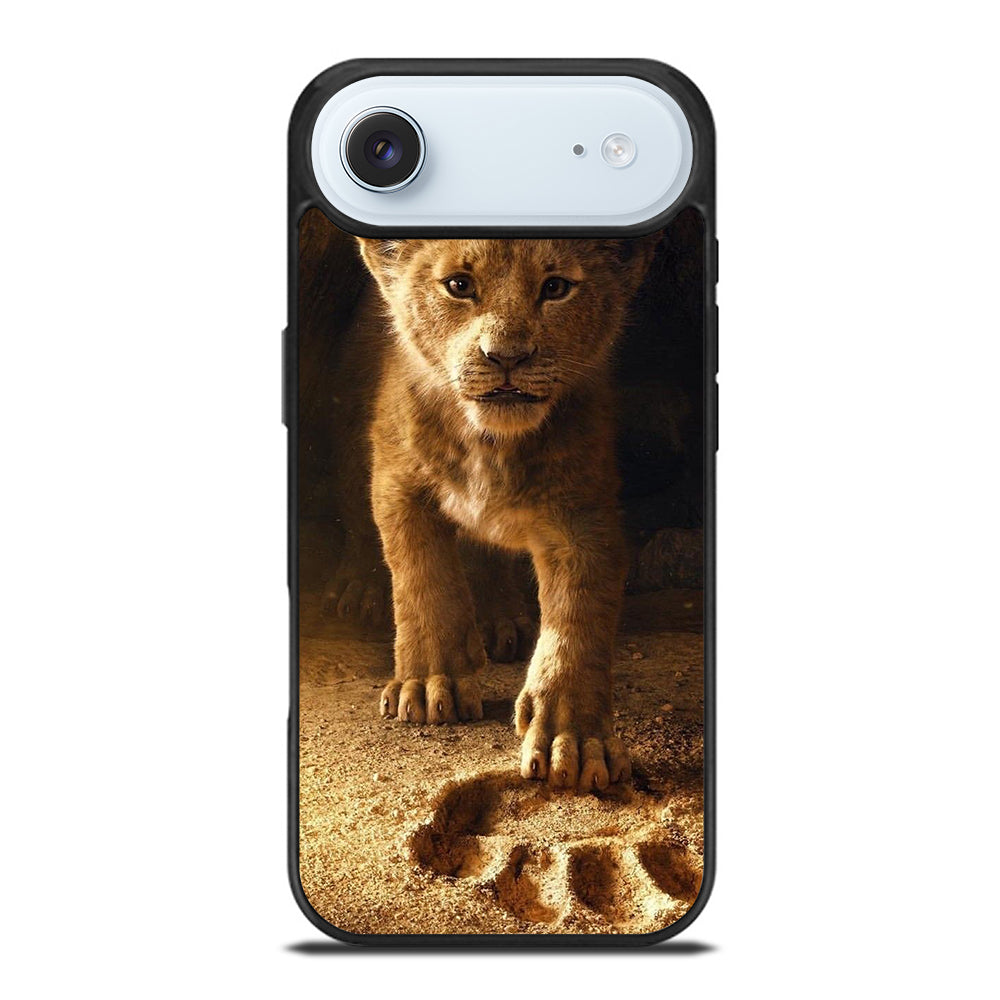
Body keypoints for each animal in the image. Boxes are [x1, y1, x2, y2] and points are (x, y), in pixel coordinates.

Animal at [351, 235, 657, 792]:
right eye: (458, 285)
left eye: (555, 287)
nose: (507, 357)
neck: (491, 442)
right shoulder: (397, 480)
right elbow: (423, 579)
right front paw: (430, 682)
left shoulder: (583, 513)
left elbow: (578, 620)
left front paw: (574, 739)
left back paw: (500, 621)